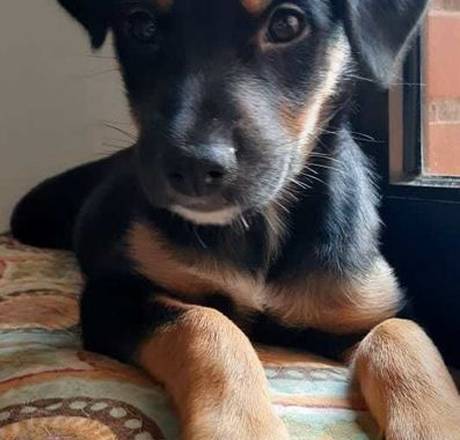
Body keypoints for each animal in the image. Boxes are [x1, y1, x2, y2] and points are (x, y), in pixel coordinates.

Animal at [11, 0, 460, 438]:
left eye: (287, 25)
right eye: (141, 26)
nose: (193, 168)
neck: (259, 226)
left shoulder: (372, 308)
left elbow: (405, 336)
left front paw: (435, 423)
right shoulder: (112, 295)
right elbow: (207, 322)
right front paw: (241, 426)